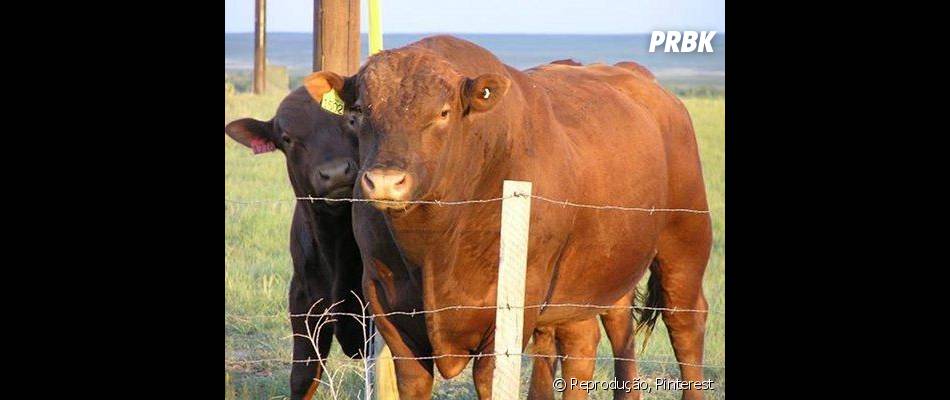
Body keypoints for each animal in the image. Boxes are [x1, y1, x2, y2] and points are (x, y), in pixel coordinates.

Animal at [302, 35, 712, 400]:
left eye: (443, 113)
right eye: (358, 113)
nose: (386, 181)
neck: (433, 246)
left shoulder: (516, 302)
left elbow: (490, 378)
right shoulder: (386, 301)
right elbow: (414, 380)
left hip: (684, 242)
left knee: (685, 321)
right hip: (594, 271)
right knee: (591, 337)